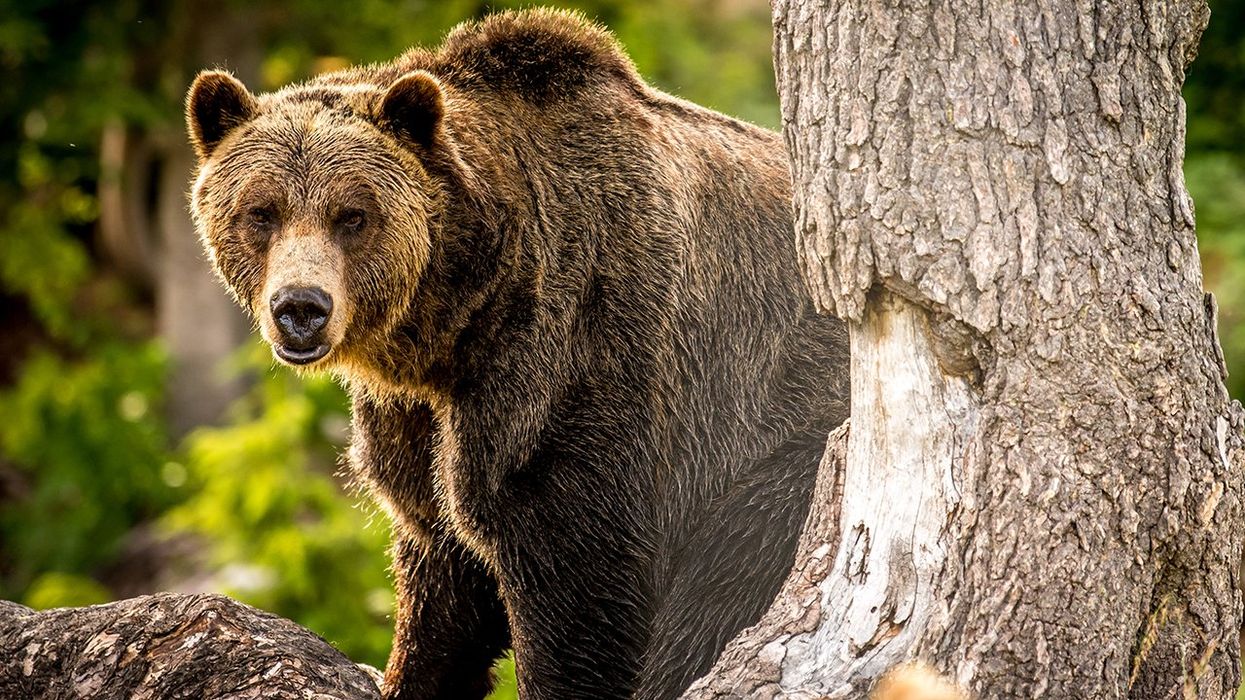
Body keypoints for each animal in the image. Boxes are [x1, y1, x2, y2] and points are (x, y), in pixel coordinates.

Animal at [186, 9, 849, 699]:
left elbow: (576, 581)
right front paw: (411, 674)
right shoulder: (414, 419)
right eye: (261, 211)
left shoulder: (576, 366)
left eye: (353, 215)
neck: (456, 322)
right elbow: (440, 571)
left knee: (726, 576)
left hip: (794, 443)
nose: (301, 307)